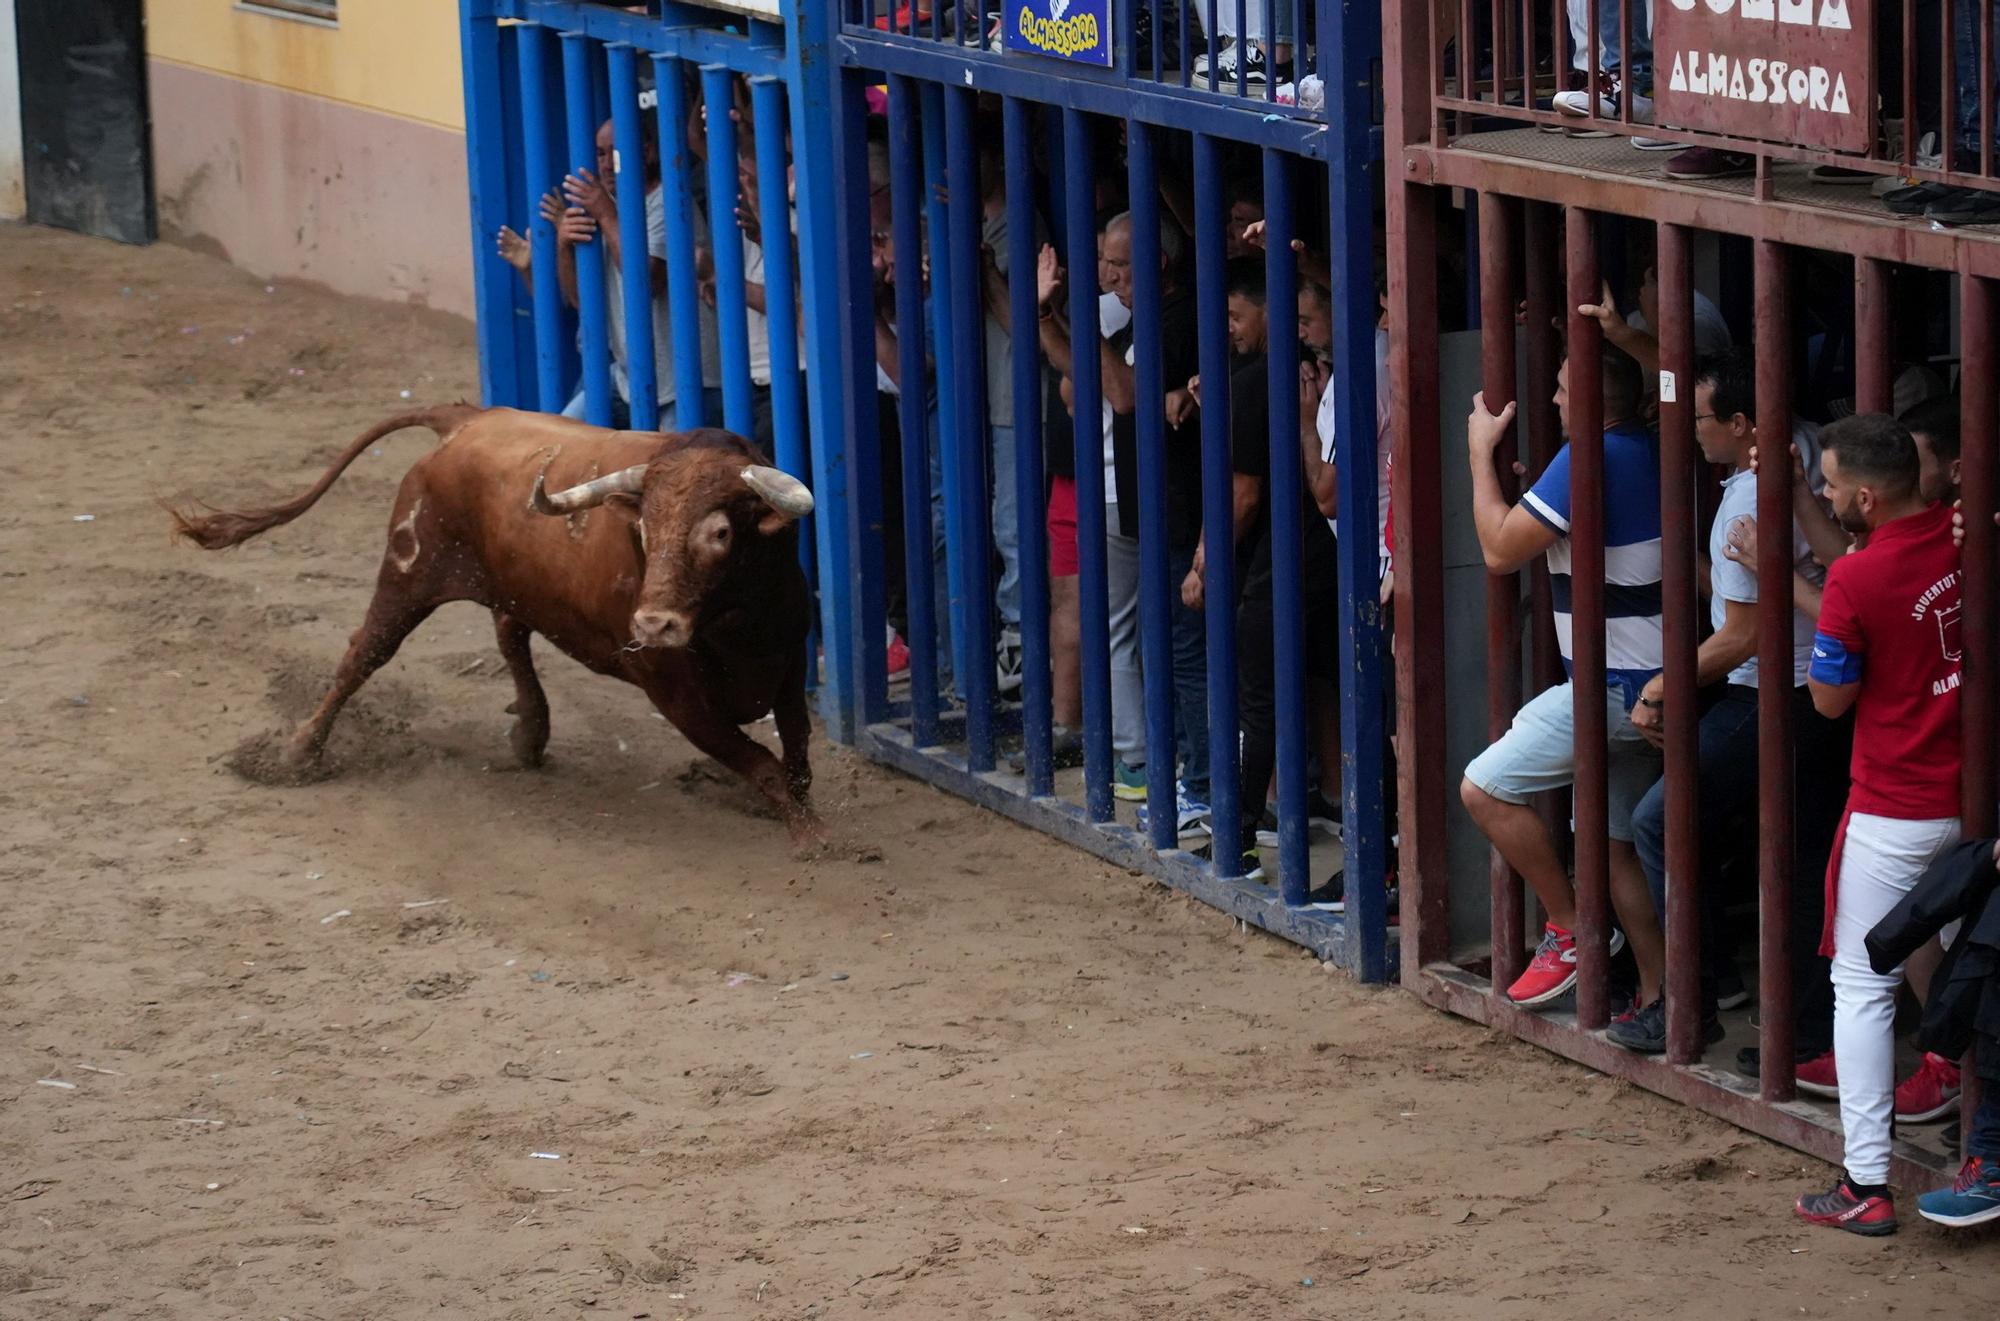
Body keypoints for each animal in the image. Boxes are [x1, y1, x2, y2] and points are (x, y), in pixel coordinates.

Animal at [172, 404, 824, 844]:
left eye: (720, 532)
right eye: (643, 529)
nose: (654, 624)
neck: (738, 625)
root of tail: (467, 419)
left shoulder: (790, 661)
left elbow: (795, 751)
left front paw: (805, 818)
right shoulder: (676, 696)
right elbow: (762, 764)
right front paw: (814, 841)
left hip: (503, 584)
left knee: (509, 634)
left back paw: (531, 734)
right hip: (408, 573)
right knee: (364, 655)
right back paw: (299, 751)